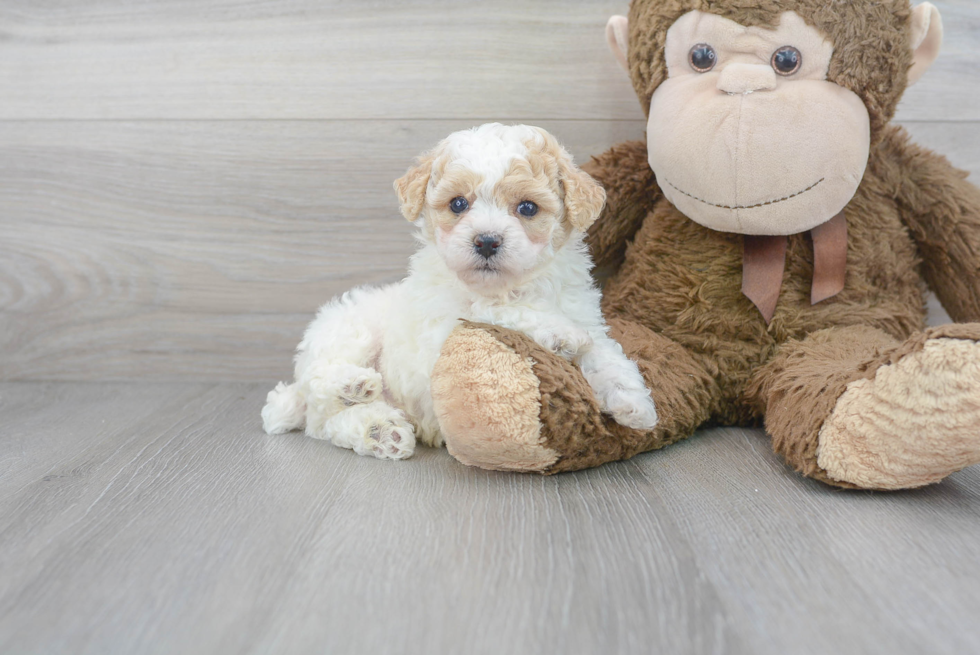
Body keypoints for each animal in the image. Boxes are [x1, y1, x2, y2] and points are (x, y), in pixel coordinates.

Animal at [262, 124, 660, 462]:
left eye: (527, 207)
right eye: (458, 203)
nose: (486, 241)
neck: (514, 285)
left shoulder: (586, 316)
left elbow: (604, 354)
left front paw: (634, 403)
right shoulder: (447, 322)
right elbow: (495, 309)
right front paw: (558, 333)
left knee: (329, 422)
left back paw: (381, 431)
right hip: (349, 332)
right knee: (318, 387)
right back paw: (352, 384)